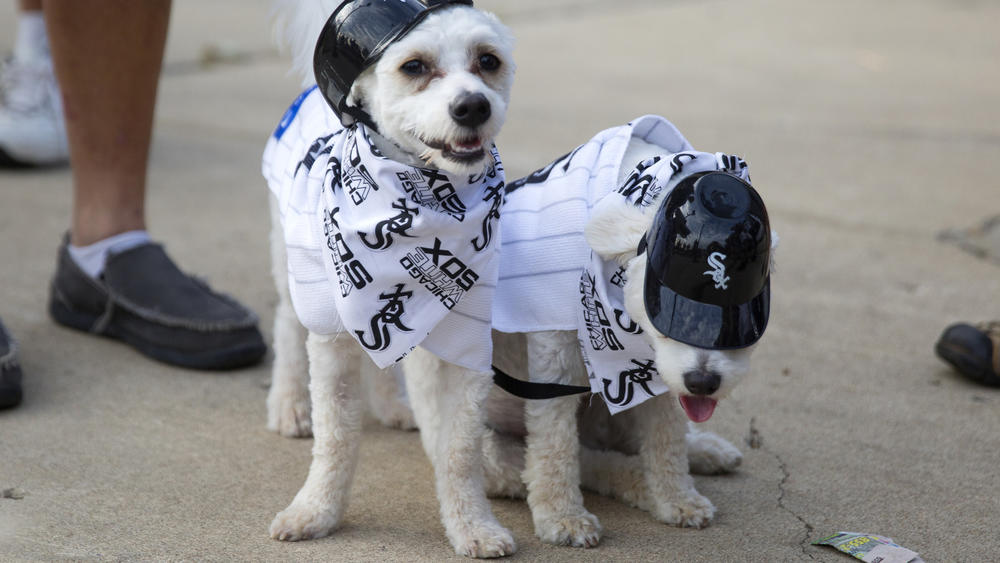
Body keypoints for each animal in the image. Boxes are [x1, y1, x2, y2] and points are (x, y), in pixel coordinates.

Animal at [262, 0, 520, 556]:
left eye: (488, 61)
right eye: (414, 66)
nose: (472, 107)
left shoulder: (467, 346)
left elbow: (460, 449)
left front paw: (473, 525)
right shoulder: (334, 337)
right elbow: (335, 437)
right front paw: (315, 512)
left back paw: (391, 405)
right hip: (294, 260)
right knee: (286, 324)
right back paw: (289, 404)